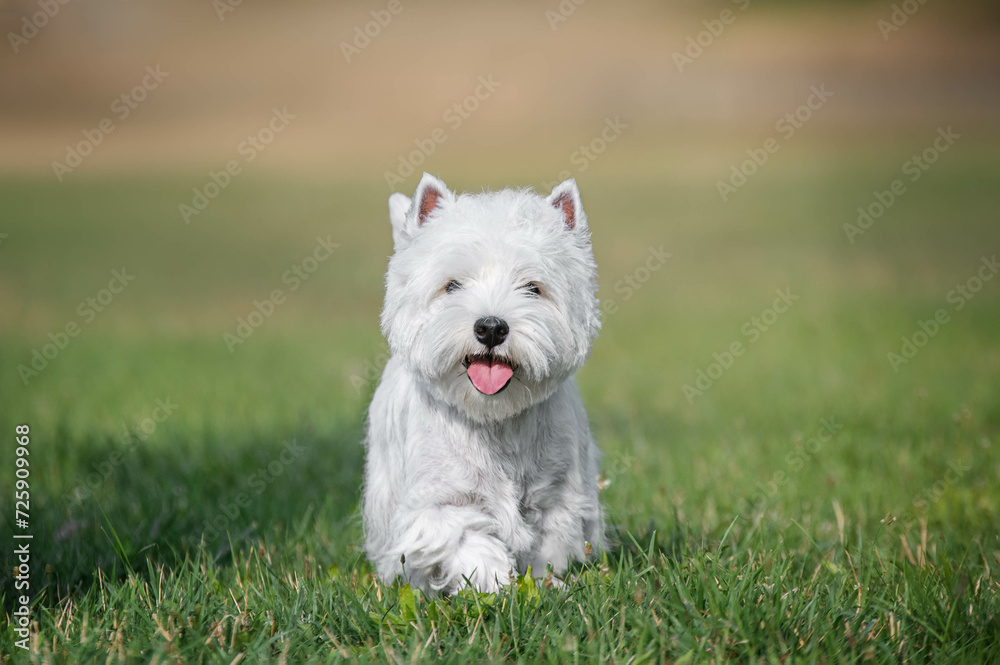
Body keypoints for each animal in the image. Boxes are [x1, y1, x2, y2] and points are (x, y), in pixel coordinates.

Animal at [364, 174, 604, 592]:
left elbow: (549, 552)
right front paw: (496, 588)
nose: (491, 327)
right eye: (452, 285)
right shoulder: (439, 505)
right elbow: (471, 543)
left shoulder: (557, 498)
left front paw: (547, 586)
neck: (495, 420)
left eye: (533, 287)